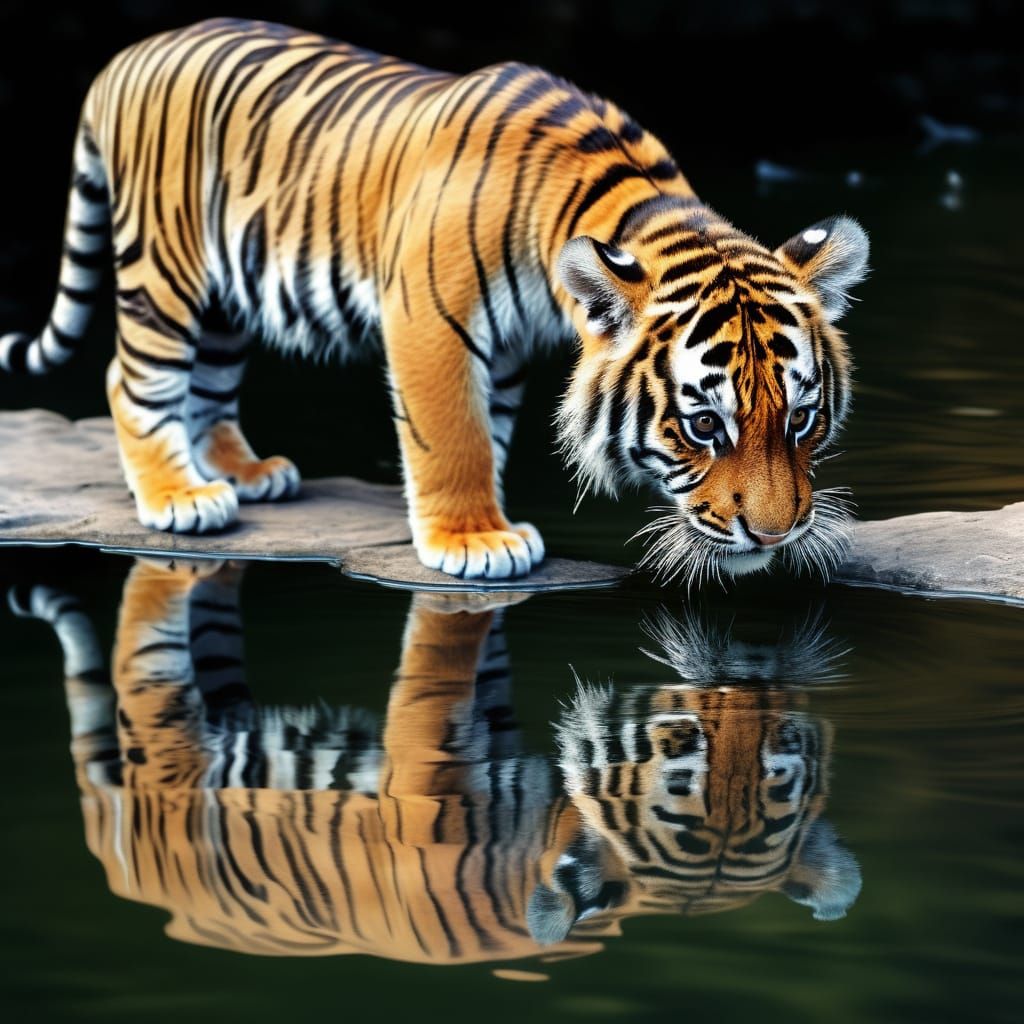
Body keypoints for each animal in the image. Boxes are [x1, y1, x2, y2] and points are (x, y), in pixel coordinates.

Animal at [0, 18, 869, 584]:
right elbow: (452, 436)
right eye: (703, 426)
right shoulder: (431, 321)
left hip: (225, 296)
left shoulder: (508, 345)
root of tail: (130, 53)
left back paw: (245, 473)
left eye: (802, 418)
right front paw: (476, 541)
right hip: (167, 268)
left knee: (208, 382)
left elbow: (492, 431)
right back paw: (181, 498)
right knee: (131, 379)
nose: (776, 534)